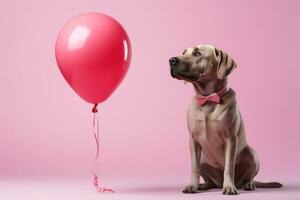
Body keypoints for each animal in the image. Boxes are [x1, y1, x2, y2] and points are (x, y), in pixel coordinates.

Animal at [170, 44, 282, 195]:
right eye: (184, 52)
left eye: (197, 53)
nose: (171, 60)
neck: (208, 99)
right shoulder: (193, 140)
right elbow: (194, 168)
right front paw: (192, 185)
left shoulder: (231, 139)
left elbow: (229, 168)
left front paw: (229, 187)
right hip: (203, 159)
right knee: (208, 179)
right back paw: (203, 185)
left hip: (252, 154)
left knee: (249, 177)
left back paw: (248, 184)